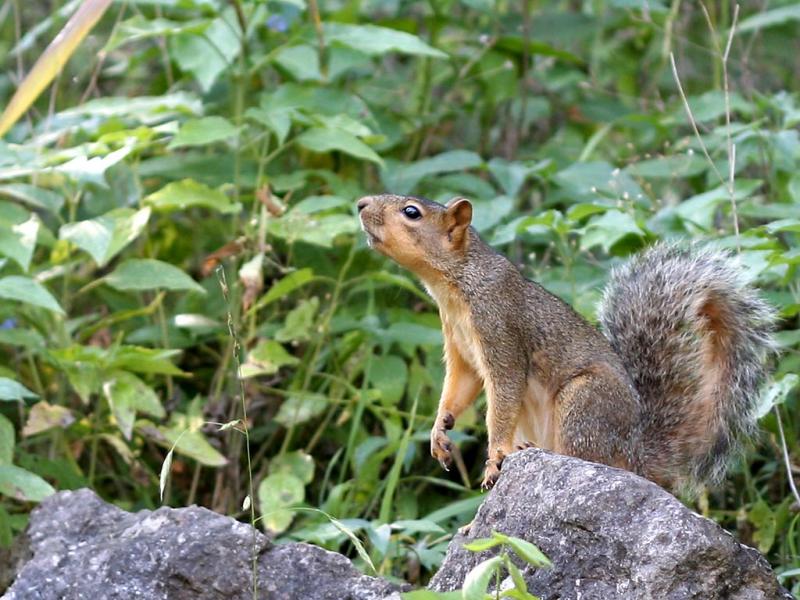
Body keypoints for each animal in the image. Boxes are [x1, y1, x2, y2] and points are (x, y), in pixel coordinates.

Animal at [356, 192, 776, 492]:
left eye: (412, 212)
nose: (360, 204)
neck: (456, 286)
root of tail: (635, 457)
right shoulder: (460, 348)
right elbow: (459, 388)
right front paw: (439, 432)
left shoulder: (501, 329)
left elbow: (503, 394)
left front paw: (495, 456)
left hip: (584, 404)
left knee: (582, 458)